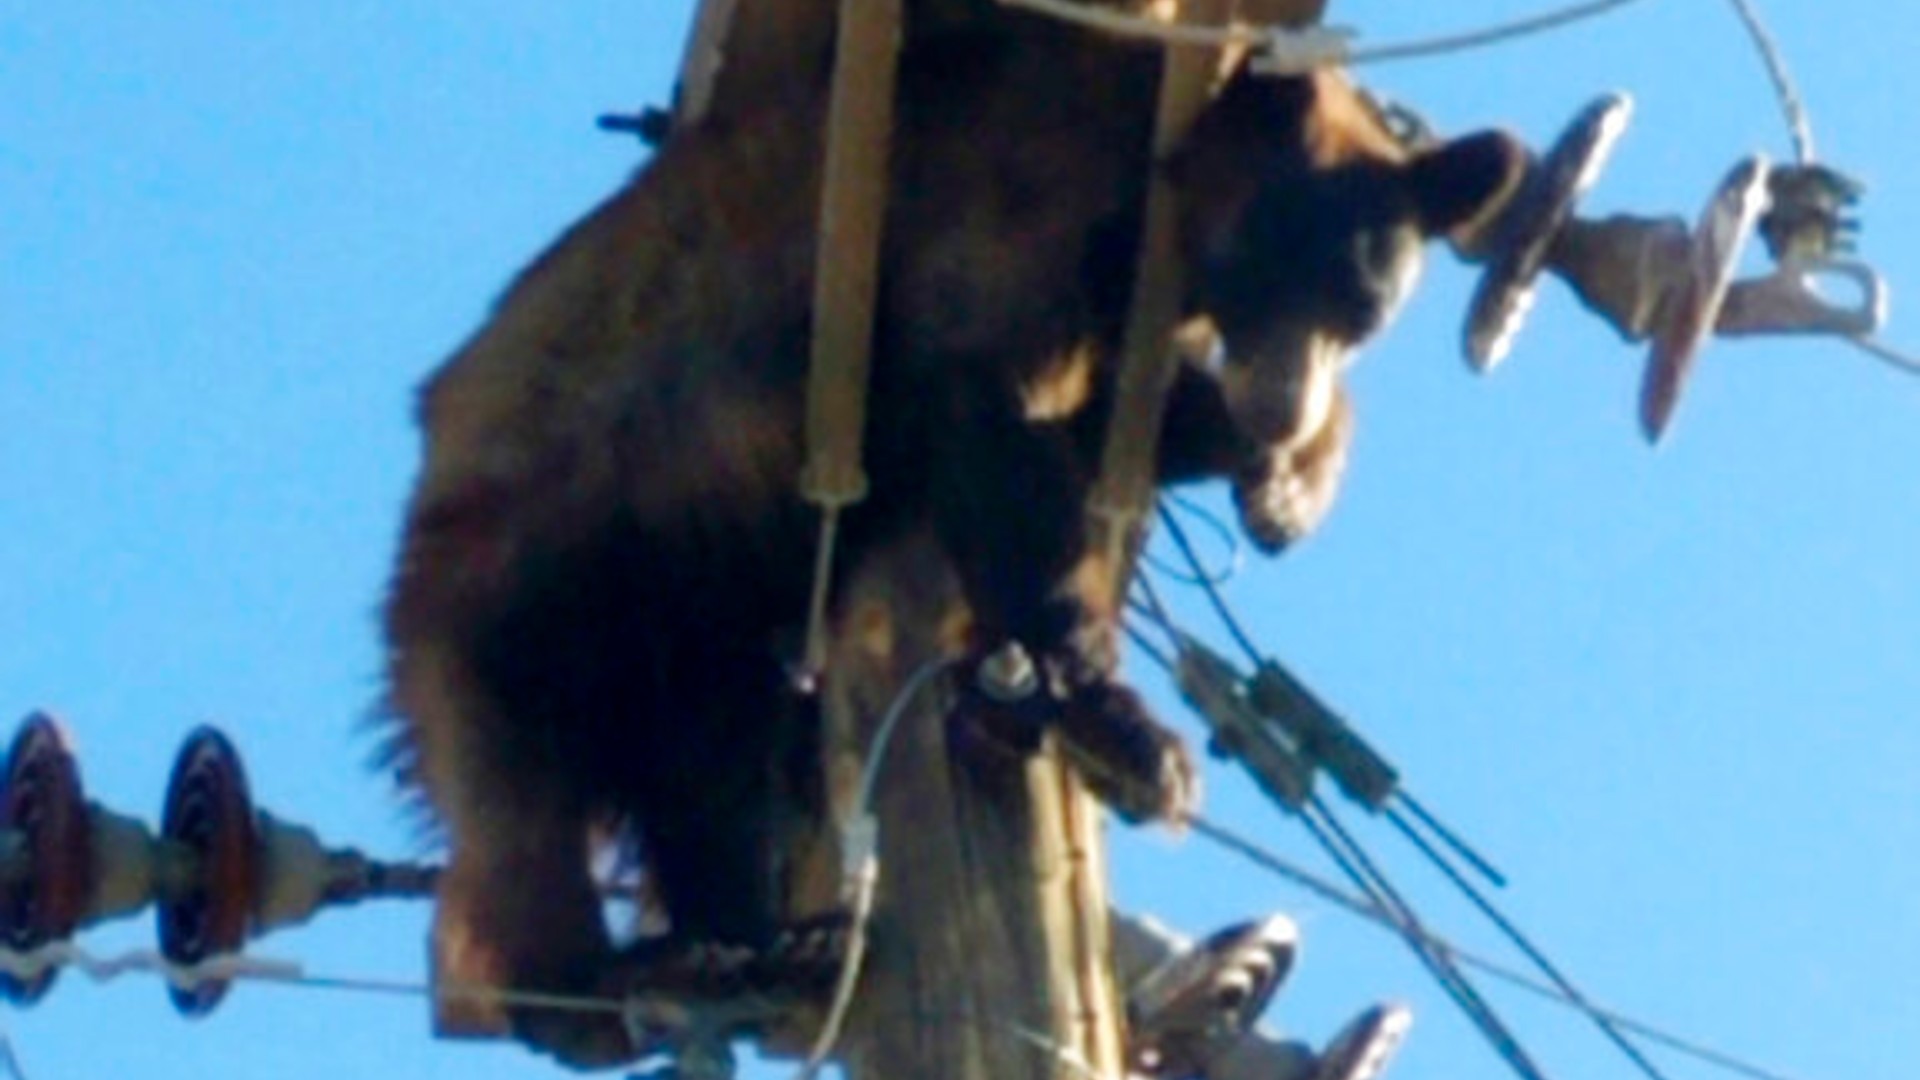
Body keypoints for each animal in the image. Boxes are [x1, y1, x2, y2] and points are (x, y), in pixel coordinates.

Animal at [382, 8, 1520, 1060]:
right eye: (1272, 270)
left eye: (1362, 311)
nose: (1280, 413)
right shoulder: (1011, 202)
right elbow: (992, 419)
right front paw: (1114, 719)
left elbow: (1113, 424)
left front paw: (1289, 481)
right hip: (526, 580)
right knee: (517, 806)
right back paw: (582, 988)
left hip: (688, 621)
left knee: (713, 760)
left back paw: (748, 948)